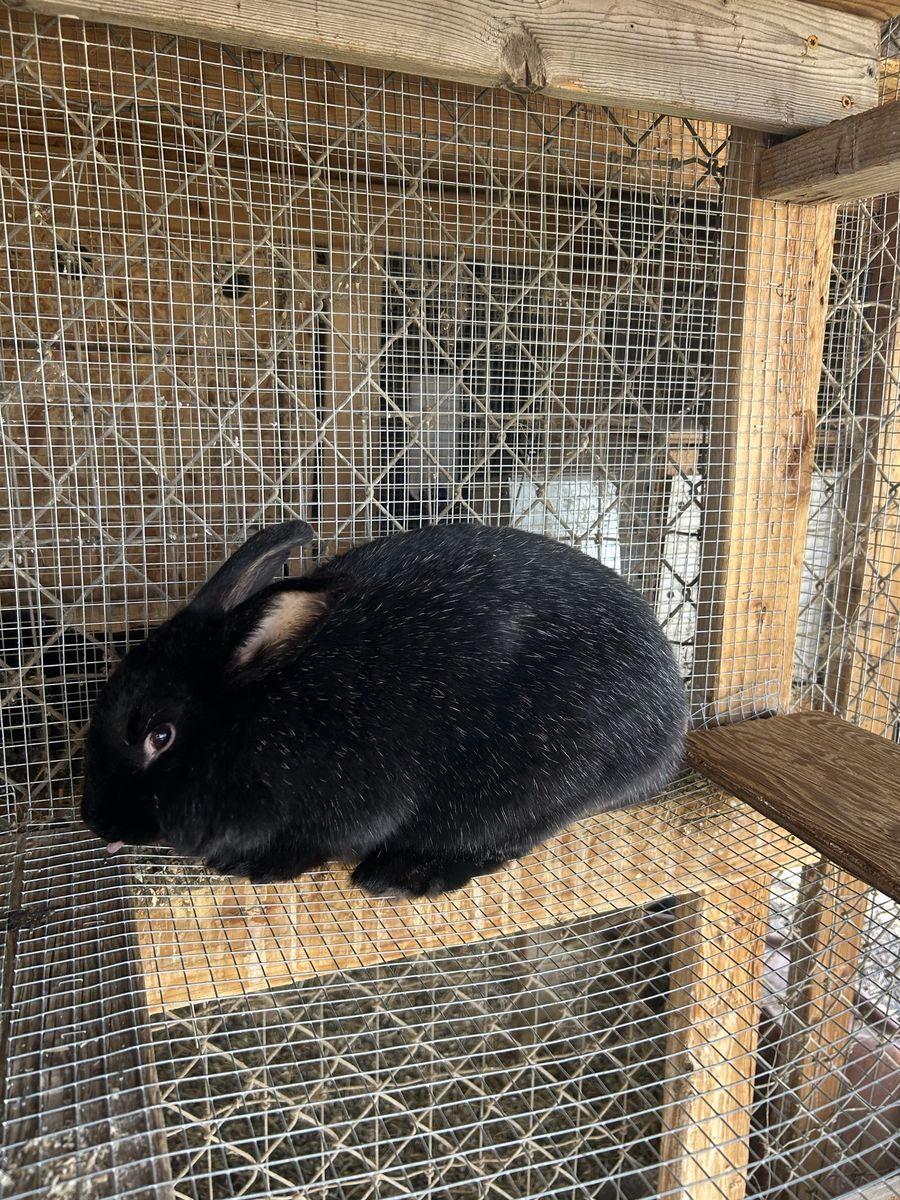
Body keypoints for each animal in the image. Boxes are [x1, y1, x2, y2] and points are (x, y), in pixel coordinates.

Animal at [81, 520, 688, 898]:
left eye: (160, 736)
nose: (94, 820)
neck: (258, 719)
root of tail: (671, 723)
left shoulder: (350, 801)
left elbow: (318, 844)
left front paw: (250, 866)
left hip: (538, 782)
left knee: (499, 839)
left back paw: (399, 876)